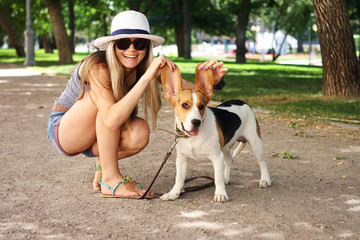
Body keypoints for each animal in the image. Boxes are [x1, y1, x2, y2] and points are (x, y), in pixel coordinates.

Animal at [160, 64, 270, 202]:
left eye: (202, 106)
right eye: (185, 105)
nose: (196, 122)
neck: (193, 138)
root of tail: (242, 102)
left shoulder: (217, 157)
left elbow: (217, 179)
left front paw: (220, 194)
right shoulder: (182, 158)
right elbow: (179, 179)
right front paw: (174, 193)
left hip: (255, 142)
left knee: (263, 162)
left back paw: (265, 180)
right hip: (226, 147)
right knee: (229, 161)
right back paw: (226, 178)